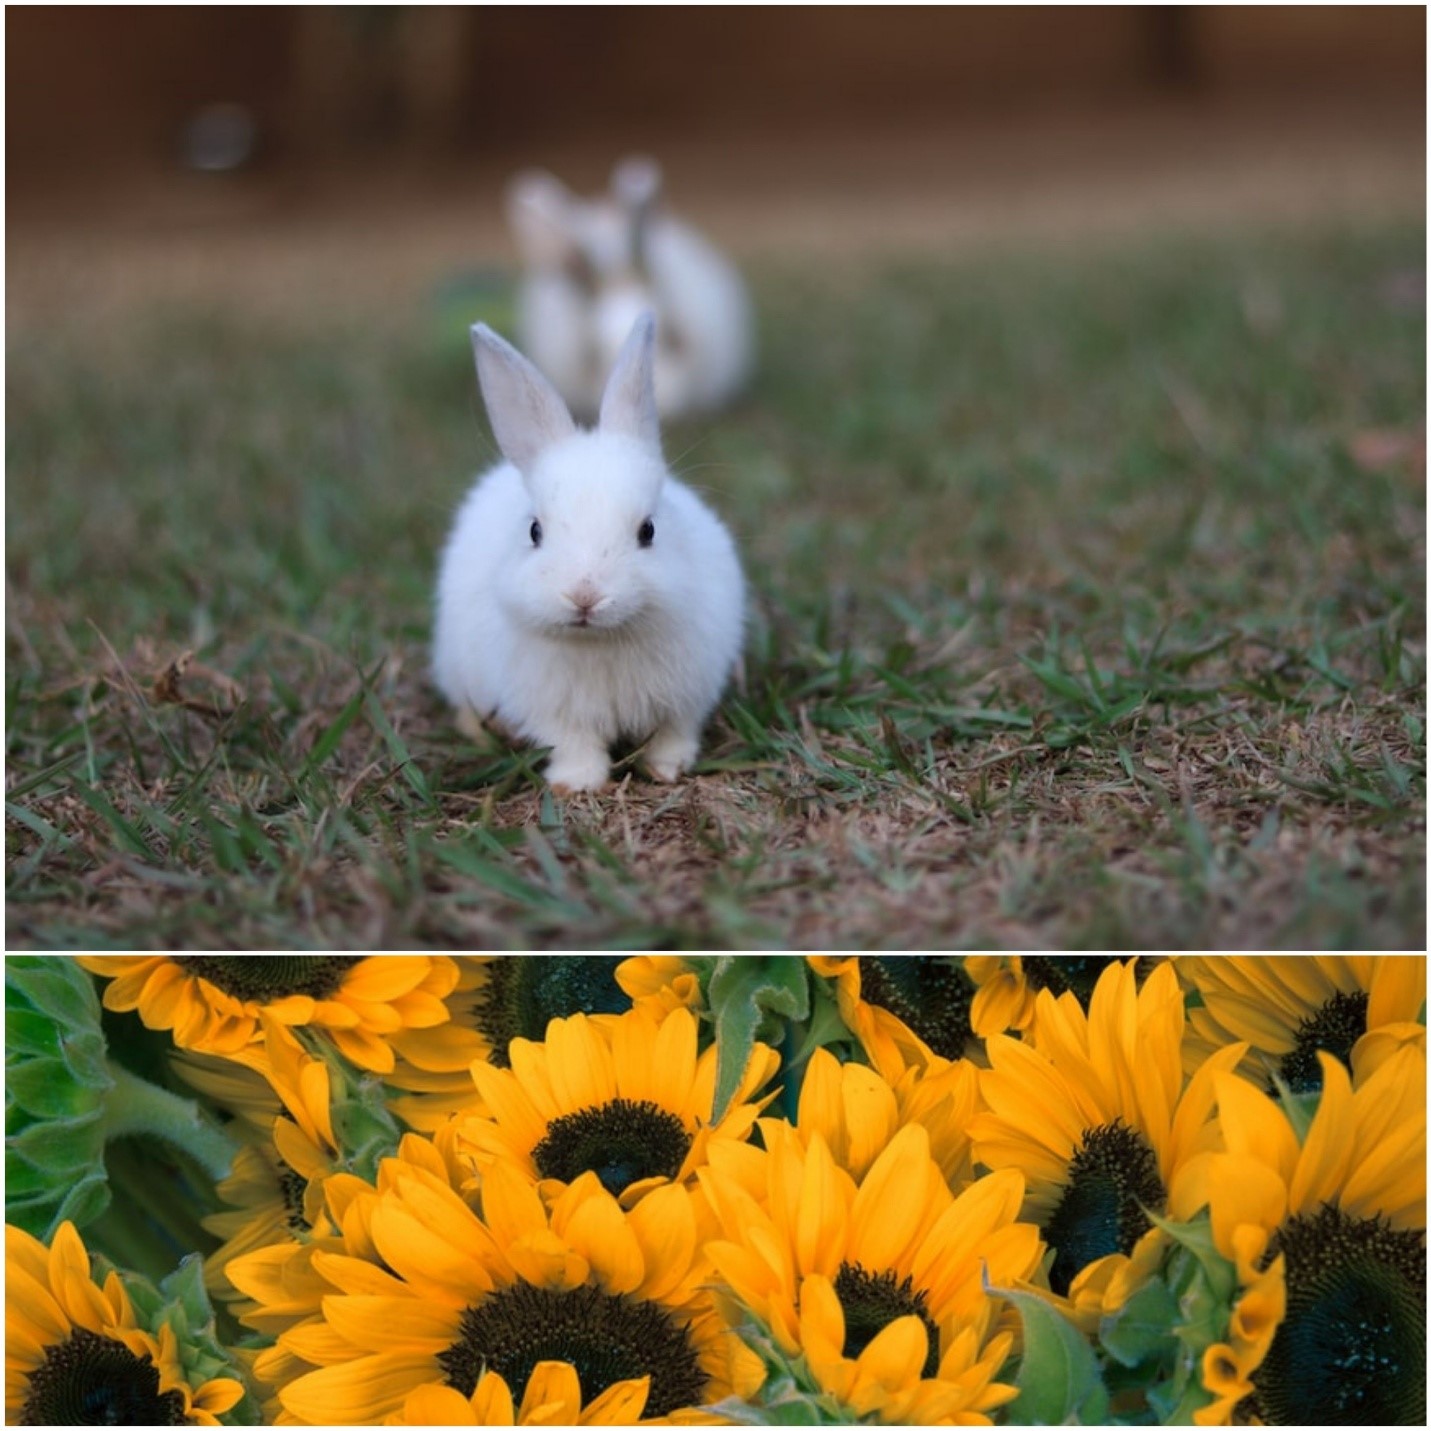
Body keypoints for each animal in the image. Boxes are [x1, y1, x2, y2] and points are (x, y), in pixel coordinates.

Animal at [432, 311, 745, 794]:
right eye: (535, 531)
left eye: (648, 530)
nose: (584, 596)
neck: (601, 638)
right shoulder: (553, 713)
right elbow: (572, 744)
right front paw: (577, 784)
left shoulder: (687, 700)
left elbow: (674, 735)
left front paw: (667, 769)